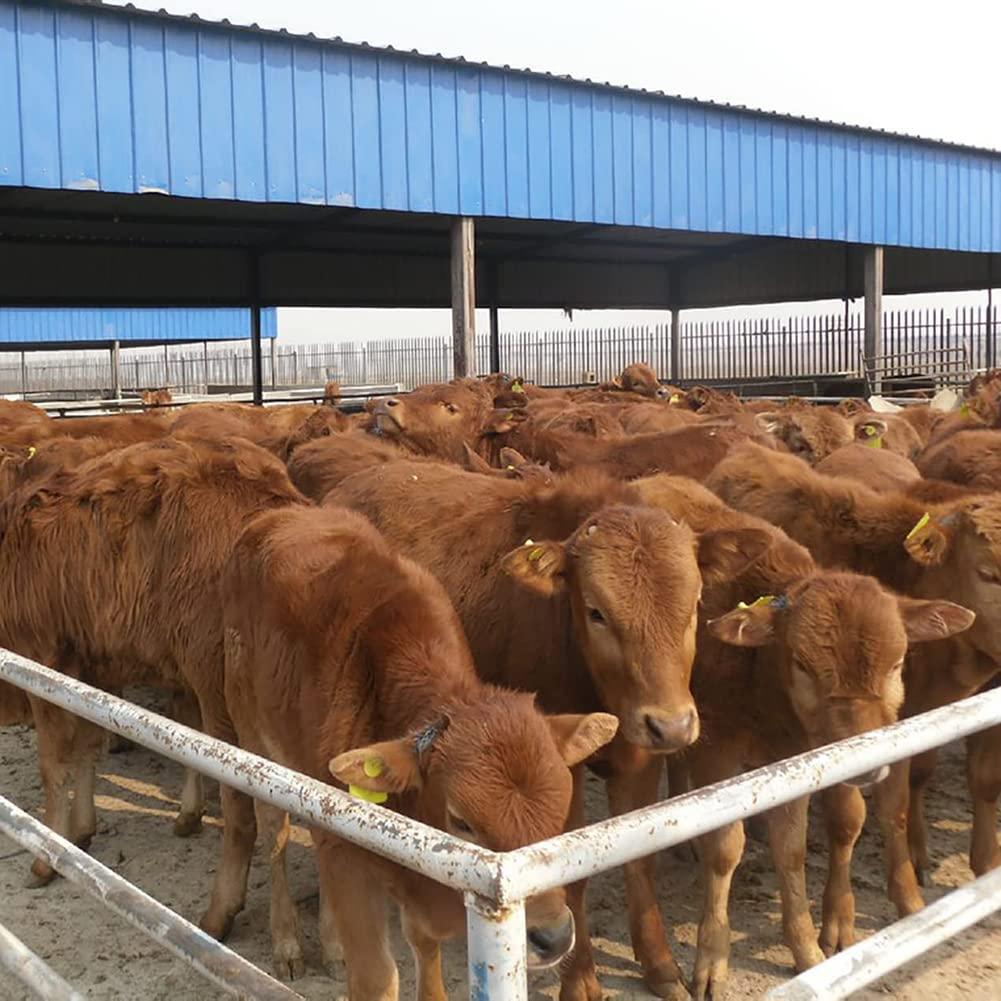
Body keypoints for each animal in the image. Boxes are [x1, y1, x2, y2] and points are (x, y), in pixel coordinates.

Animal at [216, 504, 618, 994]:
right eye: (461, 821)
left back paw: (331, 947)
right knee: (274, 831)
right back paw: (288, 944)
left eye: (562, 812)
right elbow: (376, 977)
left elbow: (424, 948)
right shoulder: (348, 856)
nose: (554, 936)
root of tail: (280, 515)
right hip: (254, 738)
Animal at [325, 458, 770, 1001]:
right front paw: (579, 979)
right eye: (597, 611)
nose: (672, 724)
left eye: (695, 604)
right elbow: (568, 872)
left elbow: (639, 858)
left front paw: (660, 964)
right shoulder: (563, 771)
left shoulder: (641, 761)